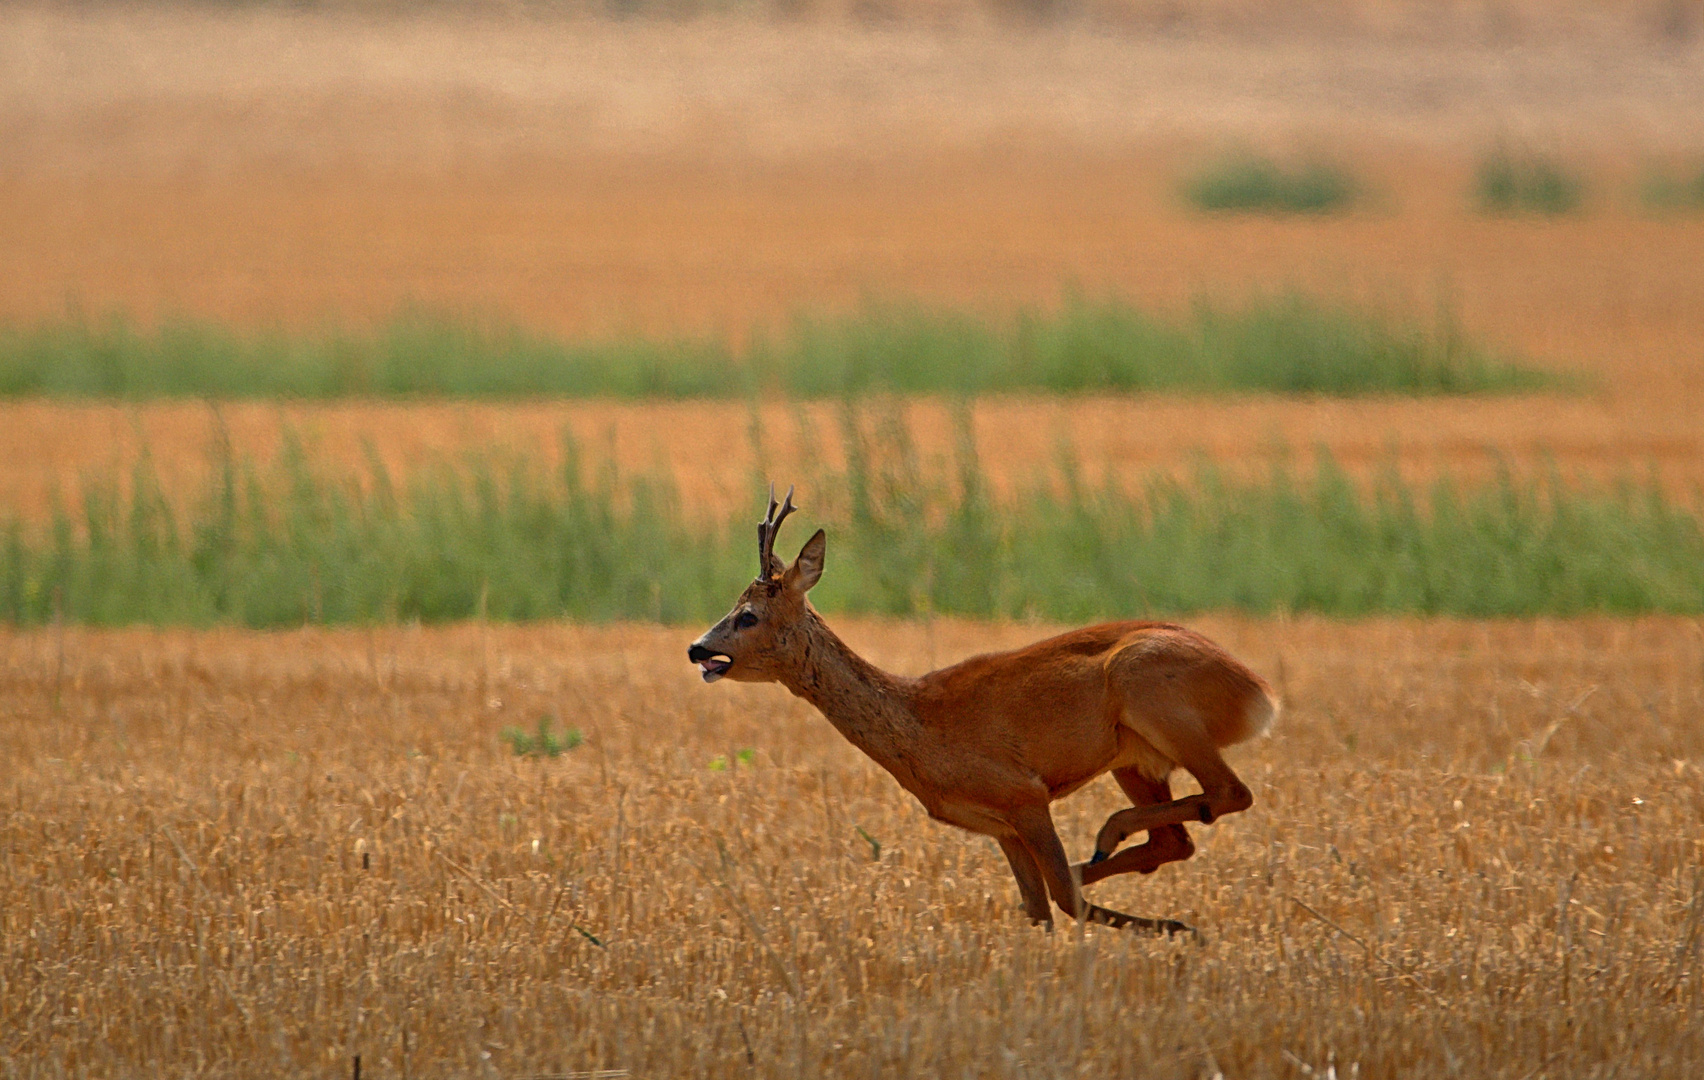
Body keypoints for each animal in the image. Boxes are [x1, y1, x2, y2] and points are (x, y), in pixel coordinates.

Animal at [685, 487, 1274, 933]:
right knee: (1179, 836)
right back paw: (1106, 852)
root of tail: (1258, 691)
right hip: (1132, 756)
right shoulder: (998, 826)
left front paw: (1183, 929)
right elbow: (1039, 910)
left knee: (1230, 792)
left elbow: (1064, 900)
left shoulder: (1024, 794)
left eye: (748, 615)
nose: (696, 648)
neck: (919, 723)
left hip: (1151, 689)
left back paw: (1113, 846)